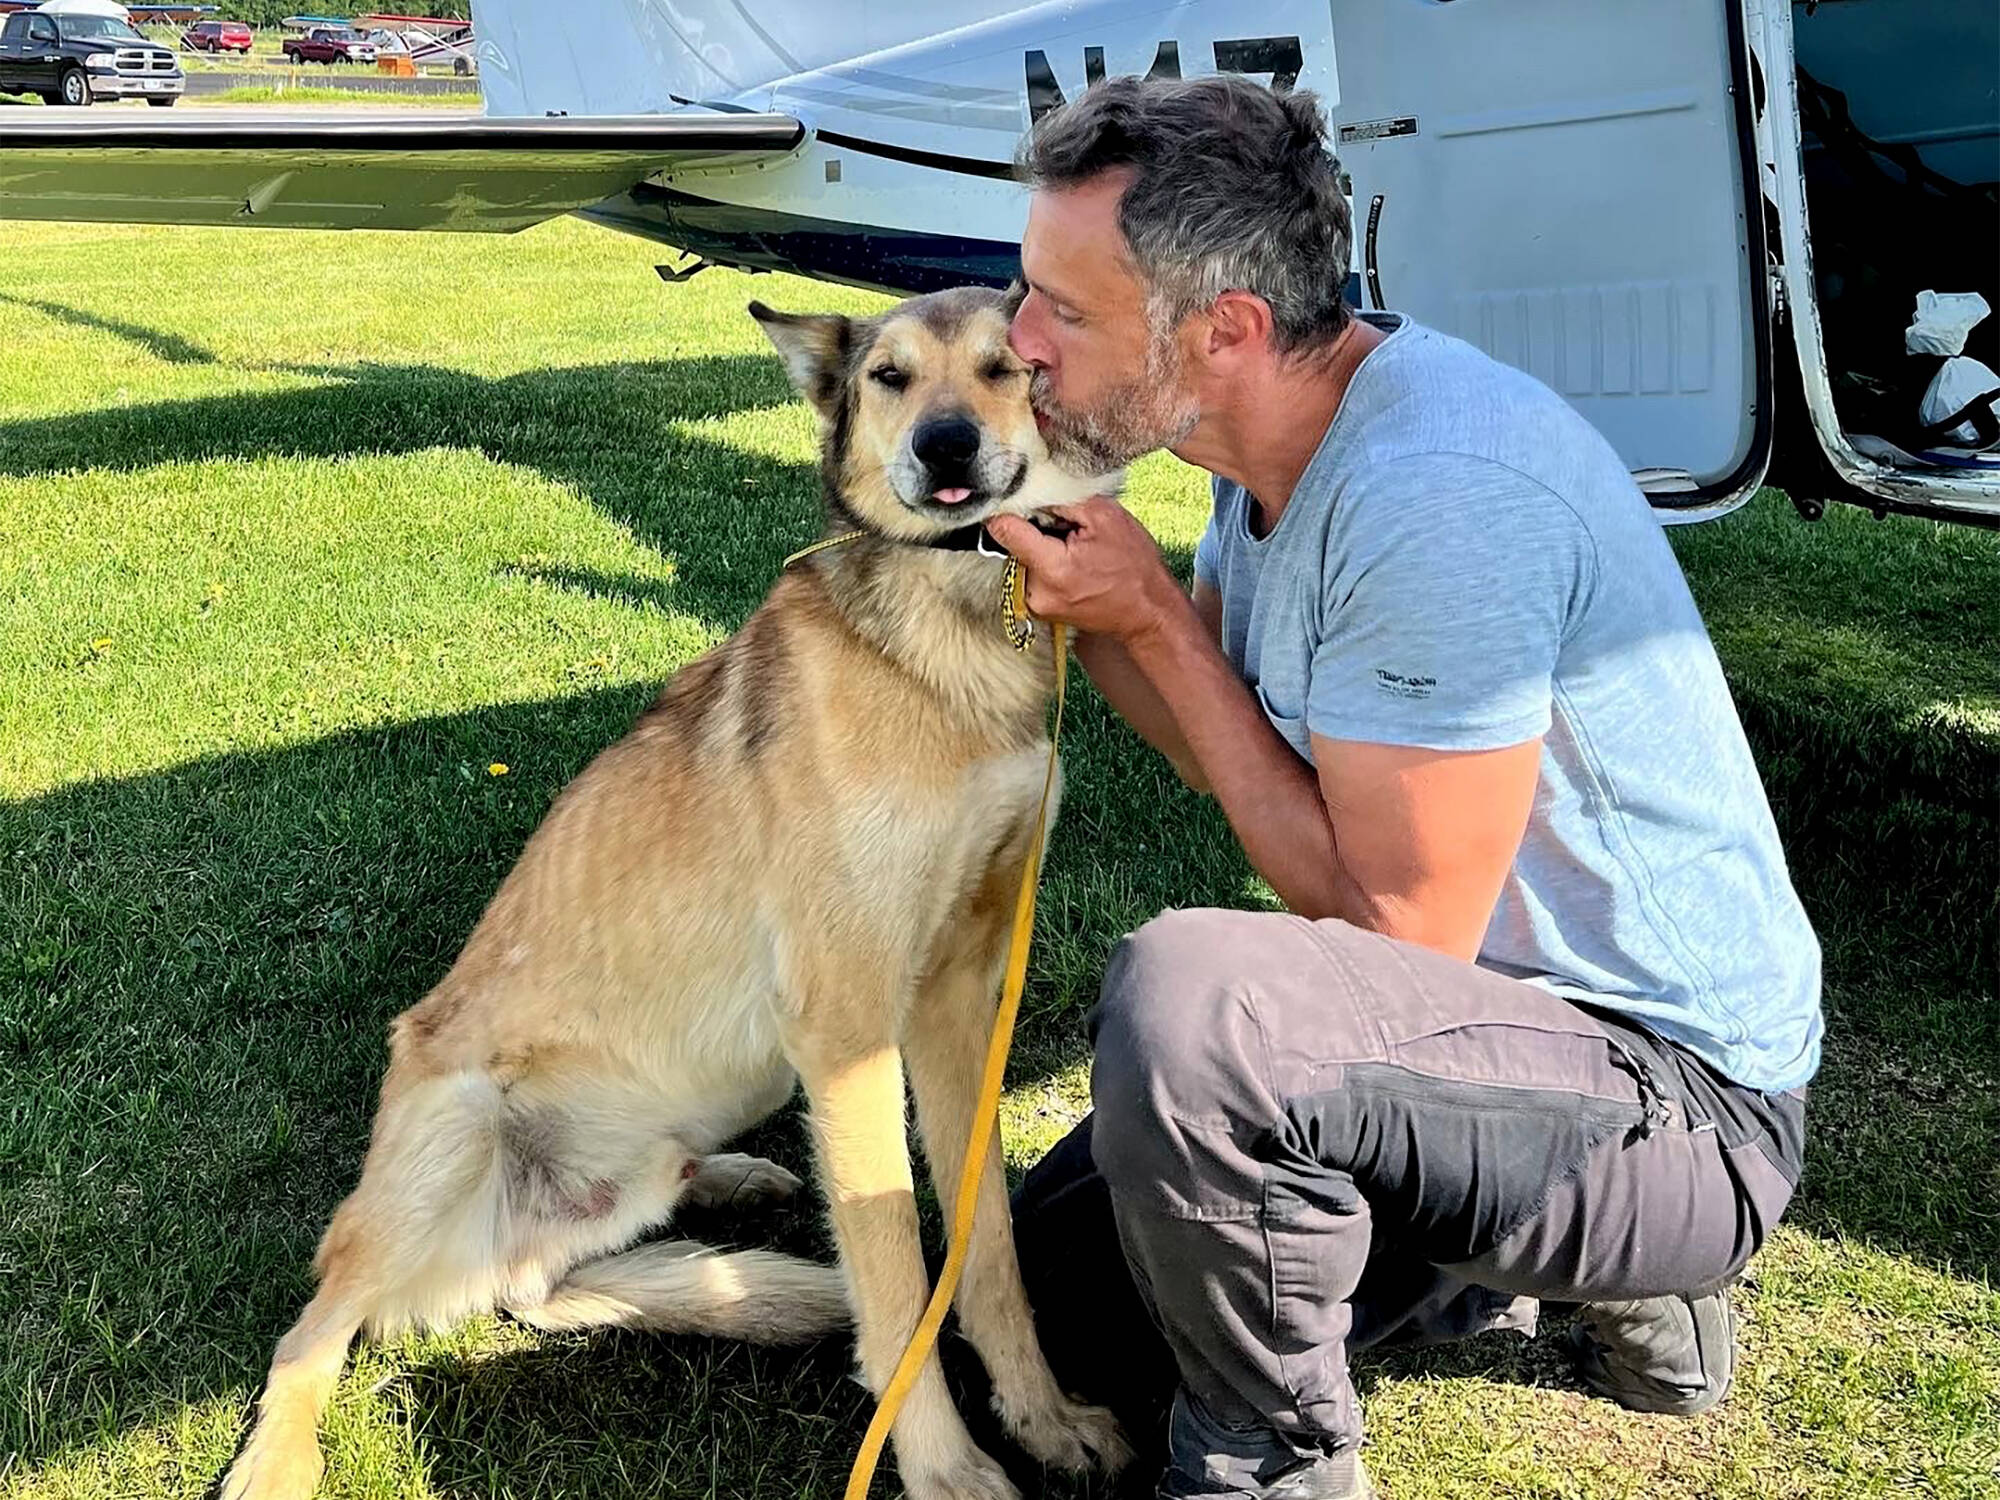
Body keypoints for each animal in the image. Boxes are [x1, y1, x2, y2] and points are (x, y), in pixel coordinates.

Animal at [217, 284, 1136, 1500]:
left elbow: (984, 1245)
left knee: (555, 1280)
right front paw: (946, 1473)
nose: (944, 445)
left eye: (1006, 367)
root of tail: (486, 1256)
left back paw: (737, 1199)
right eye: (889, 377)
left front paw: (1043, 1418)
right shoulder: (846, 1023)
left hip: (642, 1164)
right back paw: (276, 1458)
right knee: (314, 1329)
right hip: (447, 1134)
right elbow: (898, 1281)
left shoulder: (958, 994)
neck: (961, 628)